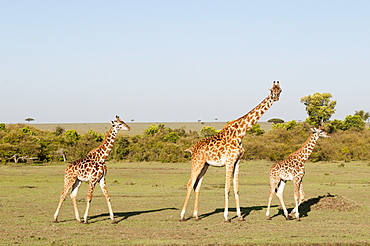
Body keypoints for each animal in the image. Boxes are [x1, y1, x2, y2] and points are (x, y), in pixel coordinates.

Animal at [181, 81, 282, 222]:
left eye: (280, 90)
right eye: (272, 91)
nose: (276, 98)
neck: (240, 134)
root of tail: (191, 148)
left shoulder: (237, 161)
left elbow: (236, 188)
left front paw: (240, 216)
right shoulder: (229, 161)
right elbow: (227, 188)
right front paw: (227, 216)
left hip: (205, 165)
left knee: (197, 186)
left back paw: (196, 216)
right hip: (197, 162)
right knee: (190, 184)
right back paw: (182, 216)